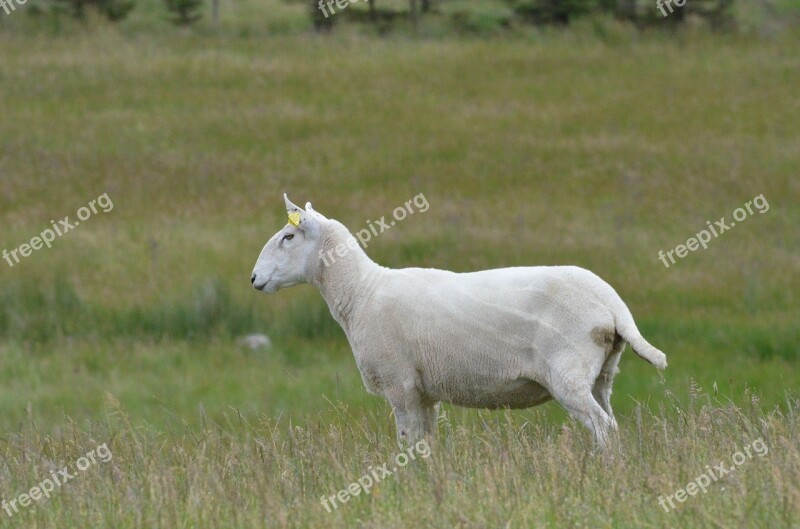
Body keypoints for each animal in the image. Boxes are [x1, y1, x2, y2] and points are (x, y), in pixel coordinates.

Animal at [253, 194, 664, 446]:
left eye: (288, 236)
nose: (254, 279)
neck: (361, 293)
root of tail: (613, 303)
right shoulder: (424, 393)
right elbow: (425, 445)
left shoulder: (400, 385)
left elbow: (408, 445)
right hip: (603, 374)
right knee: (612, 423)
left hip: (569, 373)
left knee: (604, 428)